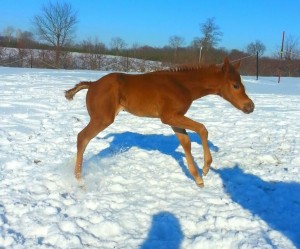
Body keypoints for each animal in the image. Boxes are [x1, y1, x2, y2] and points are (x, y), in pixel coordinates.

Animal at [65, 57, 253, 187]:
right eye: (235, 85)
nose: (250, 106)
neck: (182, 85)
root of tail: (92, 84)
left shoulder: (174, 119)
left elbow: (186, 143)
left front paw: (197, 178)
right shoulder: (169, 116)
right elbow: (202, 129)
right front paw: (206, 168)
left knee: (83, 139)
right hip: (103, 118)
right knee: (82, 137)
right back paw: (79, 180)